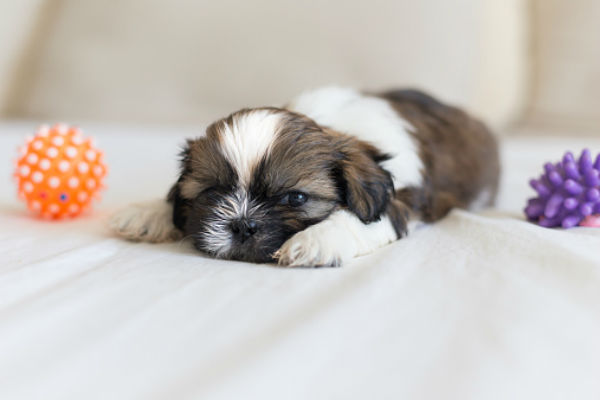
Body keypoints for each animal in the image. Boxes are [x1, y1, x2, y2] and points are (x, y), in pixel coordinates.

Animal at [110, 86, 500, 266]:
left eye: (295, 198)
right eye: (212, 192)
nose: (242, 225)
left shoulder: (399, 200)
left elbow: (359, 219)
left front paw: (316, 240)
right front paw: (147, 212)